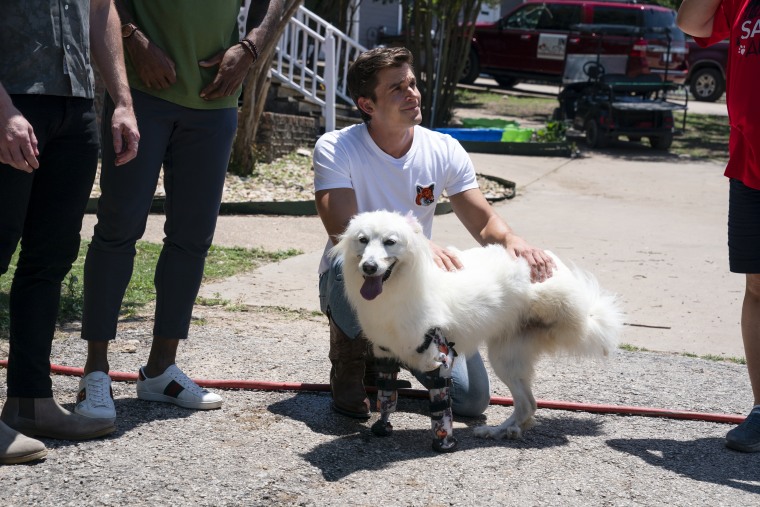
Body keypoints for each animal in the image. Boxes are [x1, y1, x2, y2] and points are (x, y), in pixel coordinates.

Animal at [332, 209, 624, 440]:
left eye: (390, 242)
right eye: (363, 240)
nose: (369, 267)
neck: (401, 288)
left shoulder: (436, 357)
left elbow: (439, 410)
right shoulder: (386, 354)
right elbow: (387, 401)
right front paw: (382, 427)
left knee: (529, 400)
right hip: (506, 359)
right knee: (528, 405)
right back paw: (502, 431)